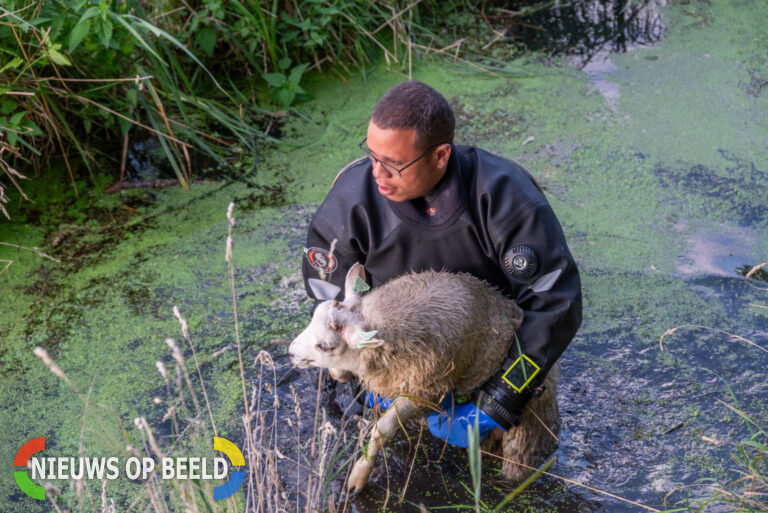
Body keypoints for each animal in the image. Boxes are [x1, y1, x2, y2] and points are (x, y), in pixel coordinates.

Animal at [288, 264, 560, 492]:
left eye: (325, 346)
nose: (291, 352)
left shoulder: (425, 390)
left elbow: (382, 429)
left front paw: (358, 477)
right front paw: (340, 373)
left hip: (528, 425)